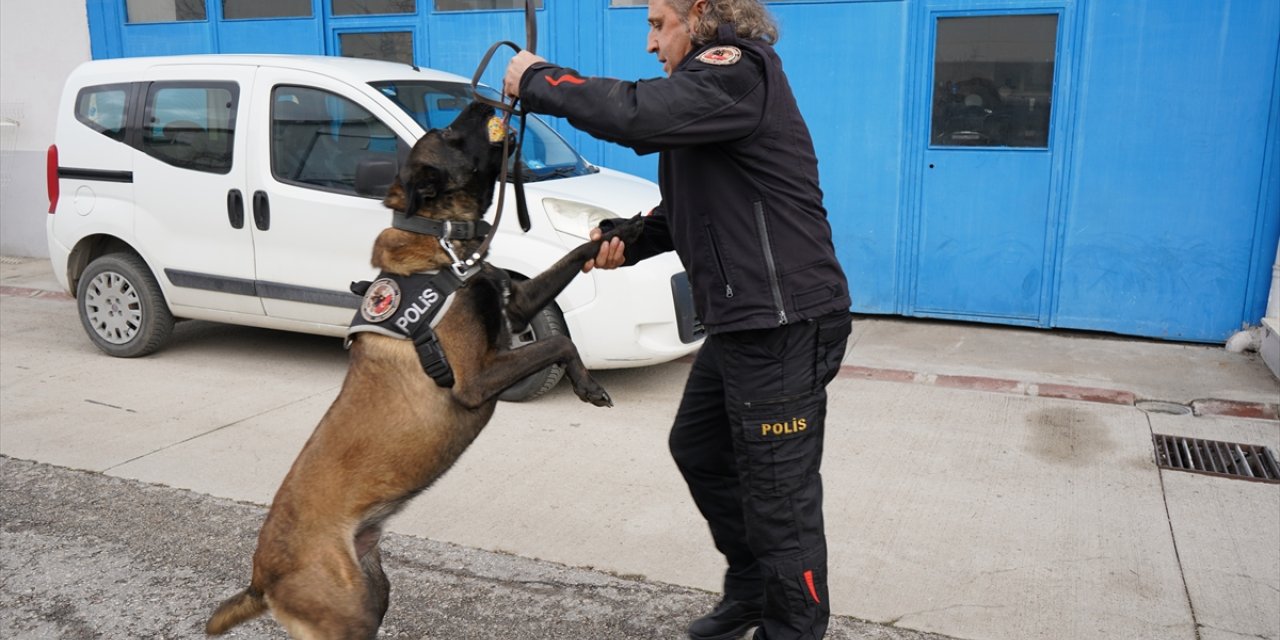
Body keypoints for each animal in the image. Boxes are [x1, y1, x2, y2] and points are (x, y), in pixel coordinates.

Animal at [207, 101, 640, 640]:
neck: (447, 245)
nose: (482, 100)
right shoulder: (475, 380)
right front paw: (589, 385)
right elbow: (560, 340)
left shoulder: (516, 307)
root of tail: (261, 578)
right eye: (451, 134)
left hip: (373, 593)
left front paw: (623, 231)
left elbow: (575, 259)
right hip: (346, 615)